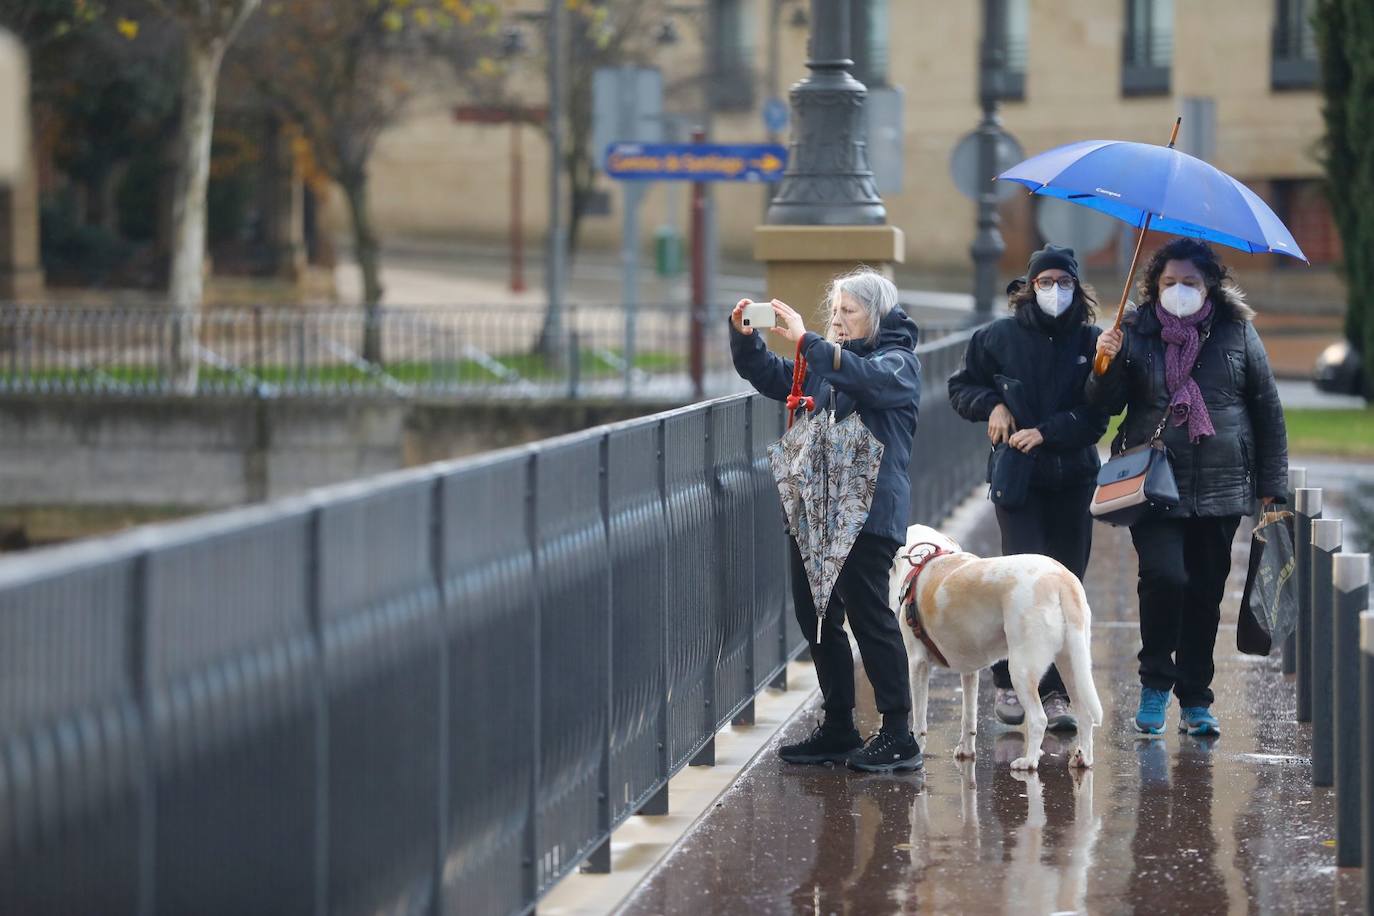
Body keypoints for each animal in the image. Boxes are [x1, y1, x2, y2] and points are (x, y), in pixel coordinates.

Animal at [890, 527, 1104, 769]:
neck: (927, 562)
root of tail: (1061, 578)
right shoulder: (969, 672)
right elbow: (968, 718)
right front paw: (966, 751)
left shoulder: (918, 664)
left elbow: (919, 720)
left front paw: (917, 750)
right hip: (1072, 666)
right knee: (1085, 715)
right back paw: (1082, 758)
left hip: (1021, 670)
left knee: (1039, 719)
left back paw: (1029, 761)